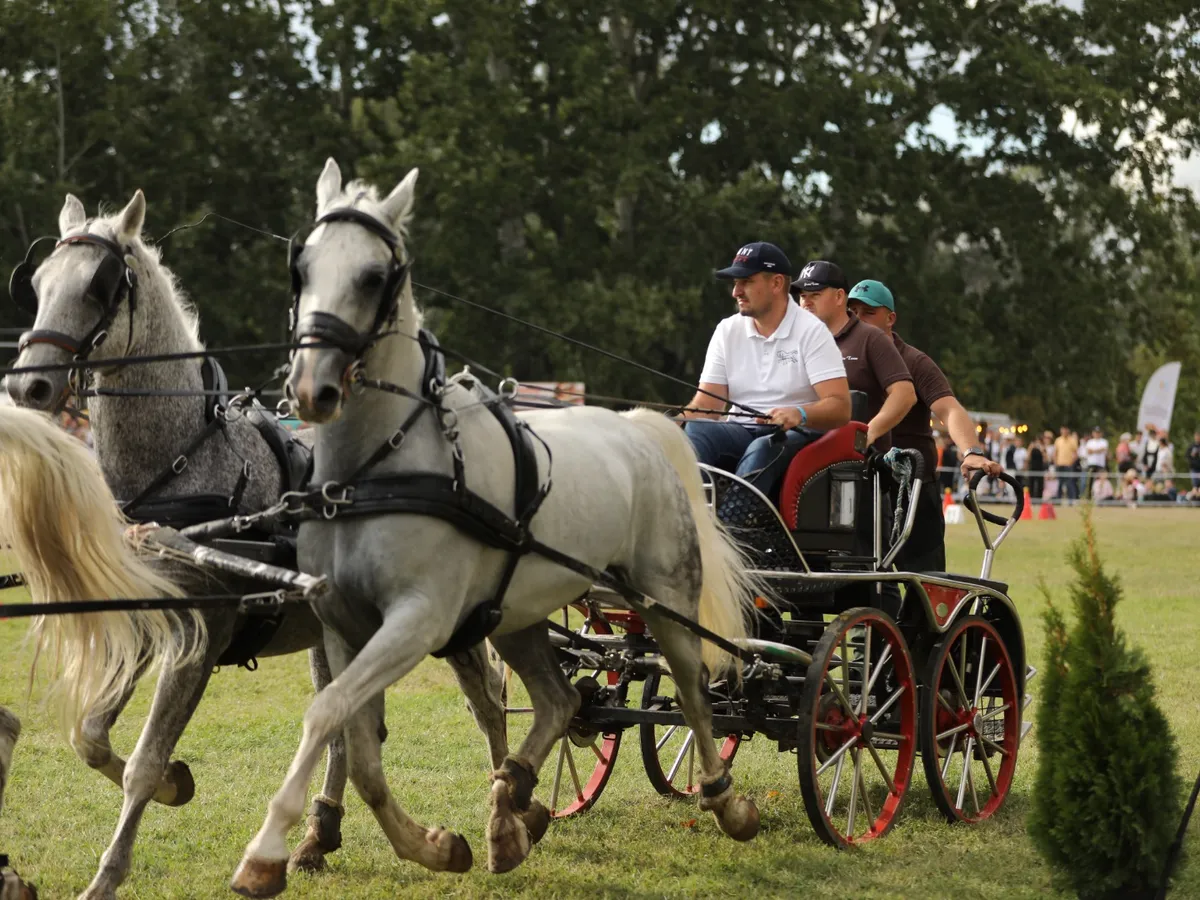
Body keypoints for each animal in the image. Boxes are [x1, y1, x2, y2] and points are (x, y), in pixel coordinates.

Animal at [1, 193, 506, 899]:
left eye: (100, 286)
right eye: (40, 282)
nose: (29, 386)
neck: (184, 461)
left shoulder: (205, 631)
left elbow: (143, 757)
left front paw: (110, 870)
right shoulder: (150, 619)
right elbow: (91, 736)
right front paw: (175, 784)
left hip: (450, 619)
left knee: (486, 700)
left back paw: (510, 812)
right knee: (350, 728)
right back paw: (318, 836)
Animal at [229, 159, 762, 897]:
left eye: (373, 276)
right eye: (301, 266)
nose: (312, 388)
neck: (374, 470)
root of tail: (636, 427)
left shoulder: (417, 621)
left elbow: (326, 714)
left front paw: (265, 851)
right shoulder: (343, 624)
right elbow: (358, 751)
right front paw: (432, 845)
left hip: (667, 599)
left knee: (691, 693)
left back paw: (722, 800)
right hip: (519, 616)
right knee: (559, 701)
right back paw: (513, 809)